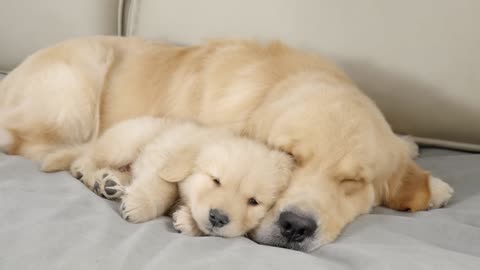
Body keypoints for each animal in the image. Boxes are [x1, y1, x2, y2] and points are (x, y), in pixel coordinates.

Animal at [62, 116, 294, 236]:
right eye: (216, 180)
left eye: (253, 202)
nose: (218, 218)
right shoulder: (161, 154)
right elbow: (164, 186)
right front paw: (140, 204)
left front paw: (188, 221)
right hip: (125, 143)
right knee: (83, 160)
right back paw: (93, 176)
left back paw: (109, 182)